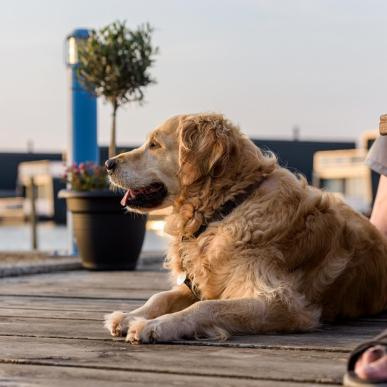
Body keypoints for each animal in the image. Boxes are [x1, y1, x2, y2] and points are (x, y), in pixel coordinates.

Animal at [104, 113, 387, 344]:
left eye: (154, 145)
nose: (108, 164)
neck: (226, 208)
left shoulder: (282, 303)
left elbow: (205, 307)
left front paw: (155, 326)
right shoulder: (198, 283)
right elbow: (161, 296)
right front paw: (129, 316)